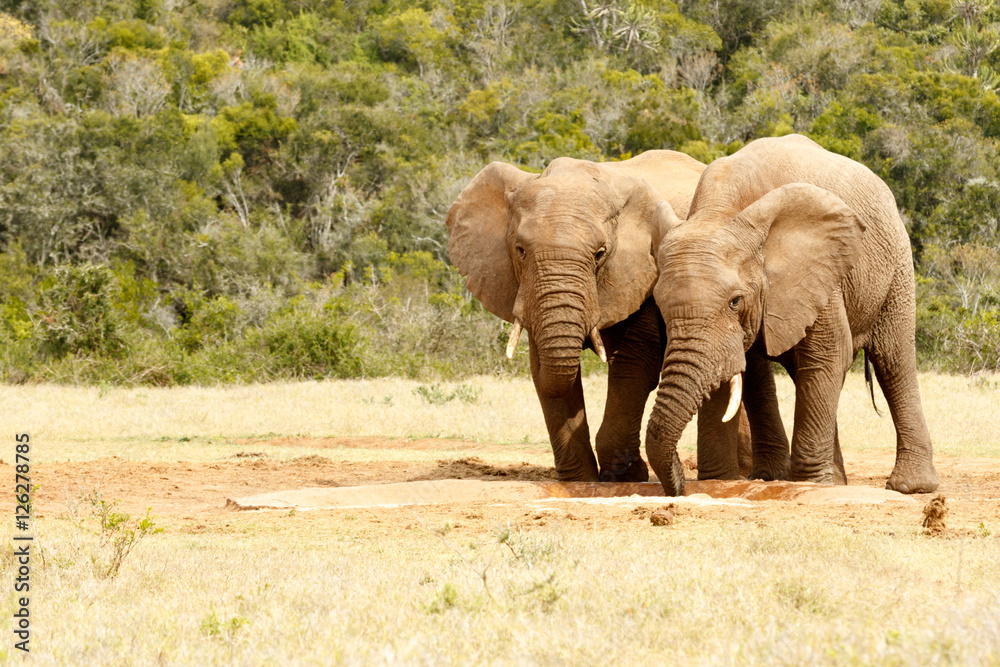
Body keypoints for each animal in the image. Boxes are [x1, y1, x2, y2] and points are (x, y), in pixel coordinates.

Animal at [447, 151, 751, 482]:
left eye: (600, 253)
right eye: (520, 250)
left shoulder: (643, 276)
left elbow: (636, 362)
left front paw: (623, 475)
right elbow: (547, 371)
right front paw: (579, 481)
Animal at [644, 134, 940, 496]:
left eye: (735, 302)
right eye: (660, 305)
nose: (678, 485)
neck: (721, 209)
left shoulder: (817, 270)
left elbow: (829, 354)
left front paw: (810, 485)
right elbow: (739, 368)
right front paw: (723, 481)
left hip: (895, 262)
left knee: (893, 359)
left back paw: (909, 487)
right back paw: (826, 479)